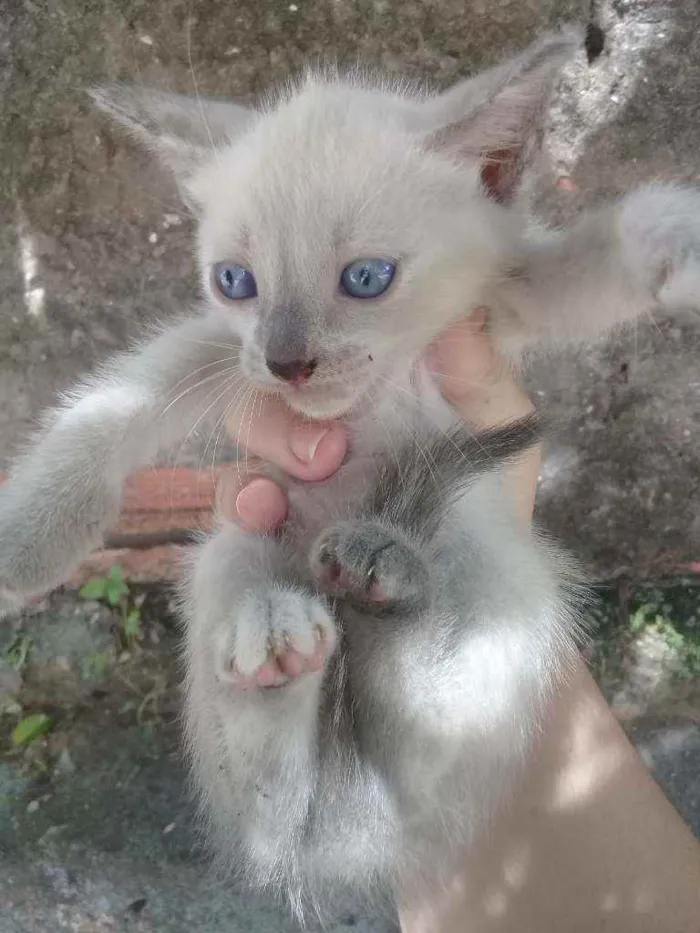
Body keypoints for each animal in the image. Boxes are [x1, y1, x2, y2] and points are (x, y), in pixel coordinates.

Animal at [1, 27, 700, 916]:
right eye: (235, 281)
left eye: (366, 278)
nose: (286, 361)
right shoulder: (220, 351)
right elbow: (117, 396)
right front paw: (31, 535)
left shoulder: (503, 300)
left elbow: (598, 248)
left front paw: (681, 238)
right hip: (228, 548)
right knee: (274, 819)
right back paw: (275, 648)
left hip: (498, 565)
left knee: (425, 731)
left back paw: (383, 572)